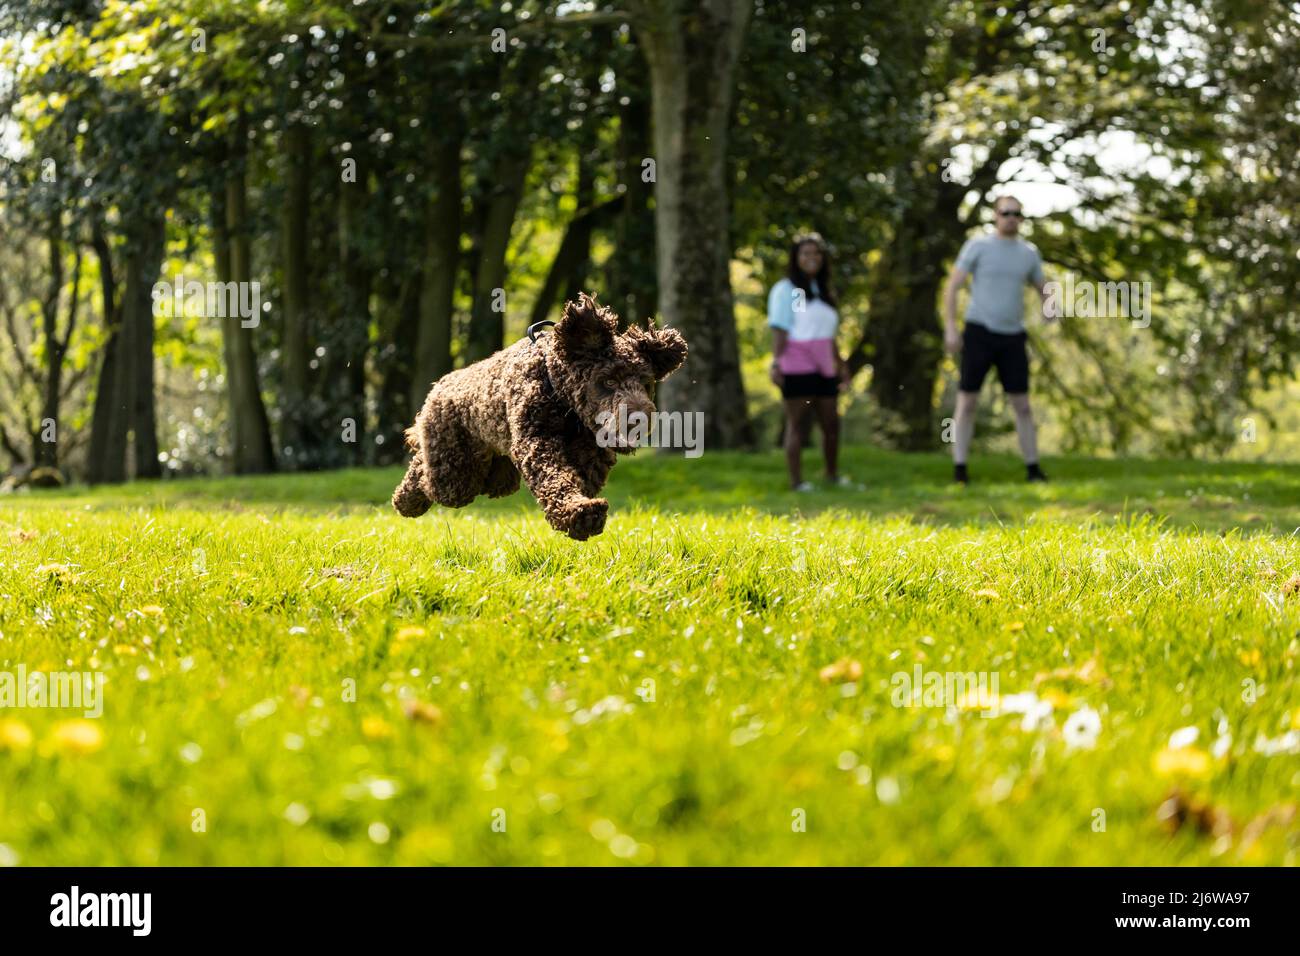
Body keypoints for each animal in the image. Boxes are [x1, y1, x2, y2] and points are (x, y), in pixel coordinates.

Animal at [392, 295, 691, 538]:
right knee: (428, 474)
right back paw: (405, 501)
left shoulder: (588, 451)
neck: (554, 387)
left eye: (646, 384)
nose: (640, 419)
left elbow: (579, 475)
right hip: (455, 472)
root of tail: (439, 385)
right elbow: (555, 478)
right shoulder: (537, 442)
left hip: (493, 473)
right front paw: (581, 514)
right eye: (608, 381)